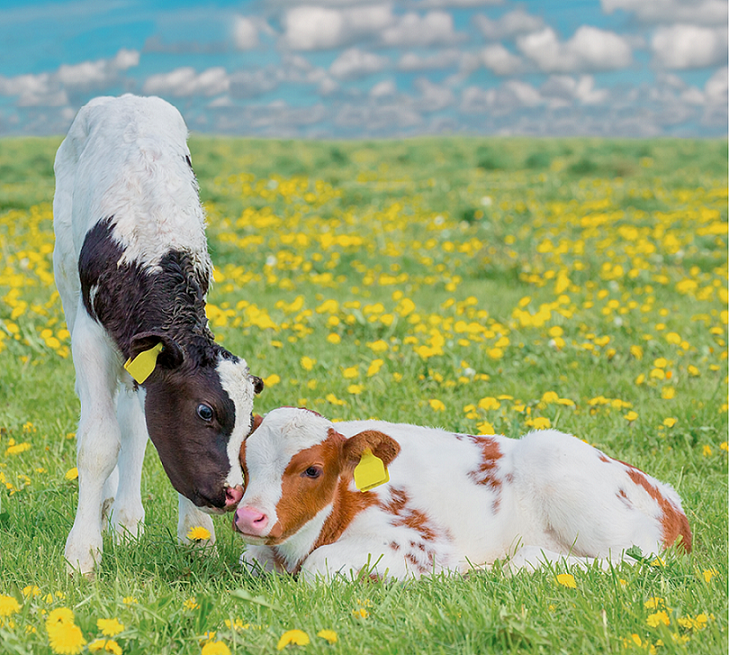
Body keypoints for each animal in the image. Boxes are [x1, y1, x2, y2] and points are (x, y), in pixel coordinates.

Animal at [54, 93, 264, 576]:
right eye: (205, 411)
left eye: (250, 422)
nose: (233, 494)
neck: (151, 248)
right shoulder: (91, 337)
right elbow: (98, 441)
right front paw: (82, 553)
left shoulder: (147, 352)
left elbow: (142, 429)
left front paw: (197, 535)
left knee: (133, 423)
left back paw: (127, 522)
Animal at [233, 408, 688, 580]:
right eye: (244, 461)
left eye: (312, 469)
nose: (249, 517)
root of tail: (670, 498)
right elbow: (249, 559)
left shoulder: (421, 543)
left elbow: (321, 566)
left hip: (563, 469)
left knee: (638, 559)